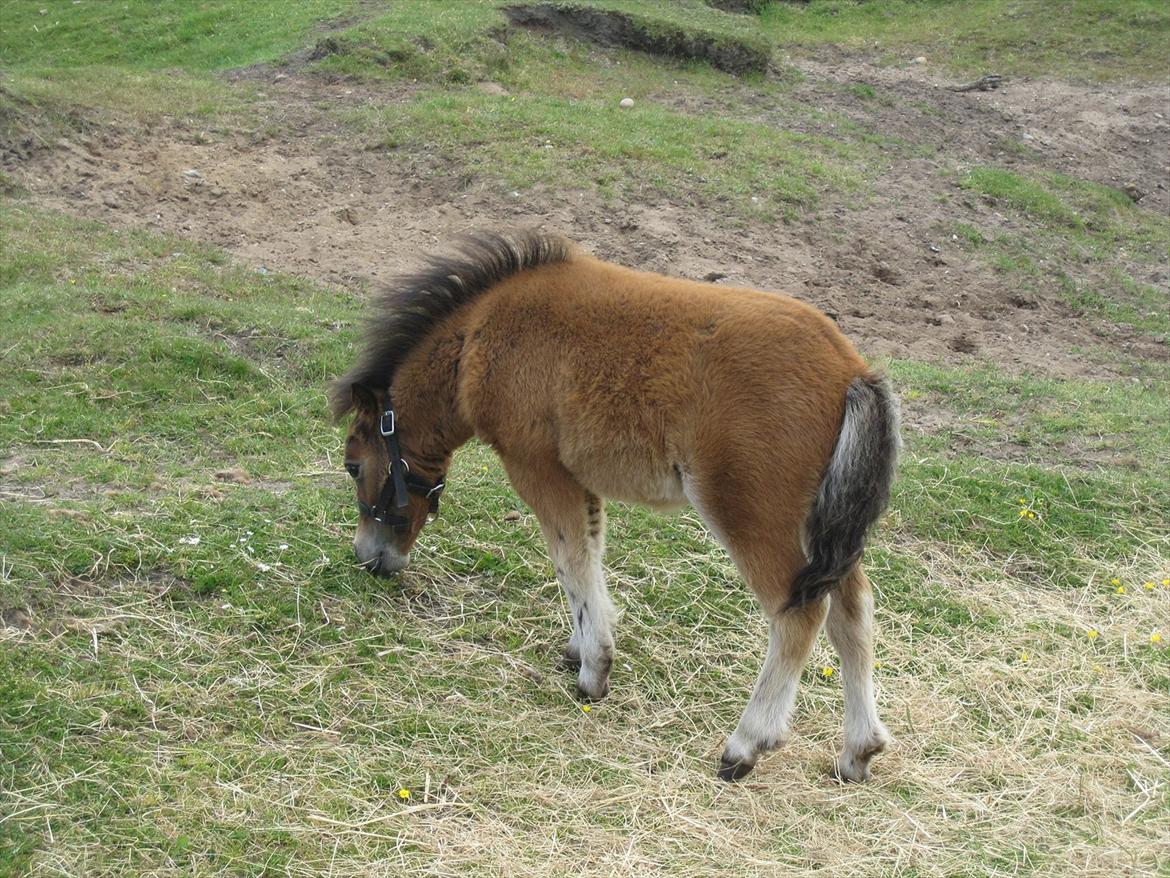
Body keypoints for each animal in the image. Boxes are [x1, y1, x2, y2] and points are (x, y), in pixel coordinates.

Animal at [334, 231, 898, 782]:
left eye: (353, 465)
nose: (368, 558)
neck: (477, 339)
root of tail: (852, 372)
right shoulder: (578, 480)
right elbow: (589, 555)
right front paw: (580, 647)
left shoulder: (536, 467)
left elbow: (570, 560)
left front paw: (594, 672)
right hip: (820, 523)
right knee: (853, 609)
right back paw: (858, 752)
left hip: (751, 513)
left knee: (801, 615)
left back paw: (745, 746)